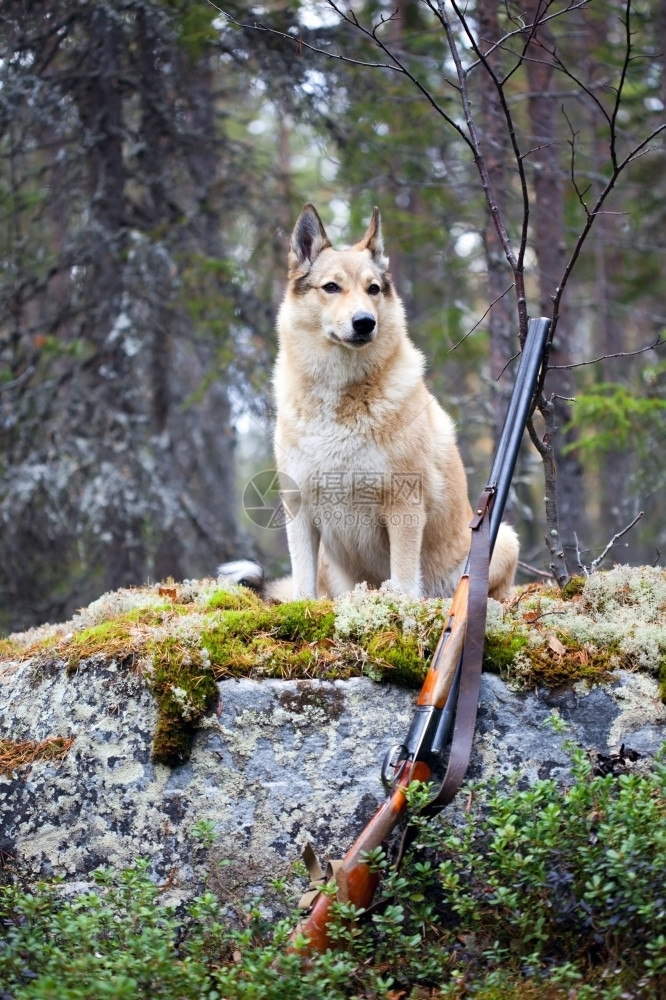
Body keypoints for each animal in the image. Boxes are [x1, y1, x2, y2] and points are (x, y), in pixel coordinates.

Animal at [270, 199, 520, 596]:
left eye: (373, 289)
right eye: (331, 287)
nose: (364, 322)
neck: (340, 396)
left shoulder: (404, 503)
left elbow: (403, 578)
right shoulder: (299, 506)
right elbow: (303, 584)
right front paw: (303, 606)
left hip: (504, 540)